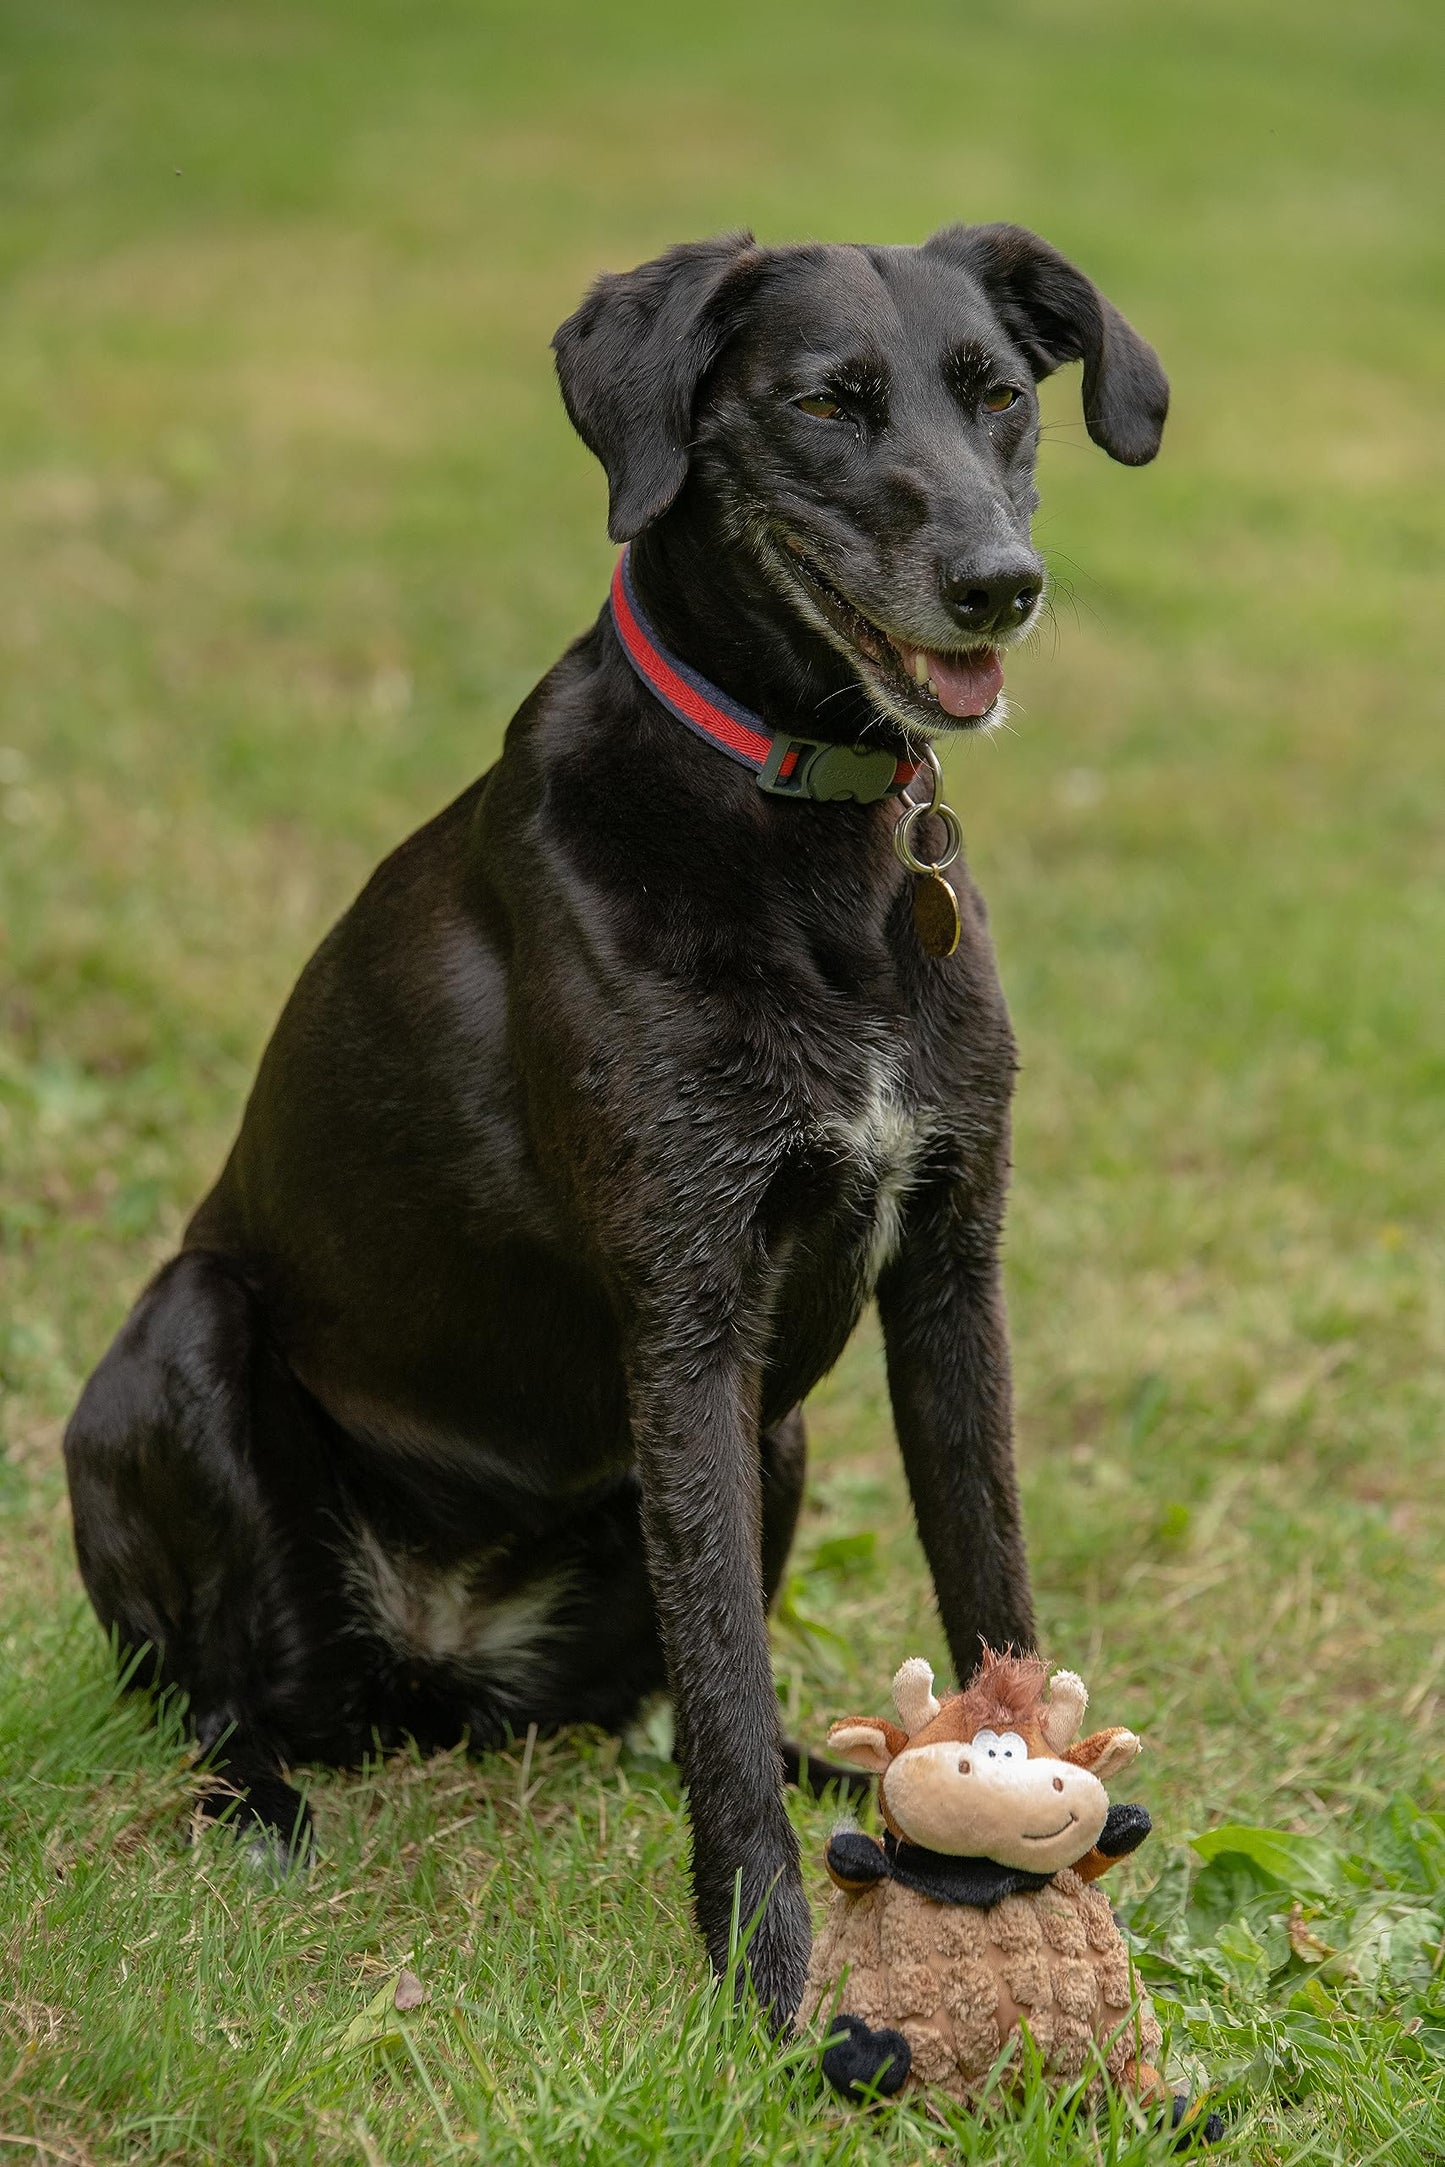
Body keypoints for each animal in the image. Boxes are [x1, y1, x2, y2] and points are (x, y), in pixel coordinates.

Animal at [64, 219, 1161, 2010]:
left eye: (1001, 396)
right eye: (825, 403)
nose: (1002, 583)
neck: (806, 823)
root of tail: (443, 1672)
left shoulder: (948, 1270)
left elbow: (985, 1587)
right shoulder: (686, 1303)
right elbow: (718, 1676)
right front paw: (766, 1975)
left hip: (776, 1438)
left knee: (661, 1707)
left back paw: (852, 1779)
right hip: (191, 1339)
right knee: (233, 1705)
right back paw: (264, 1813)